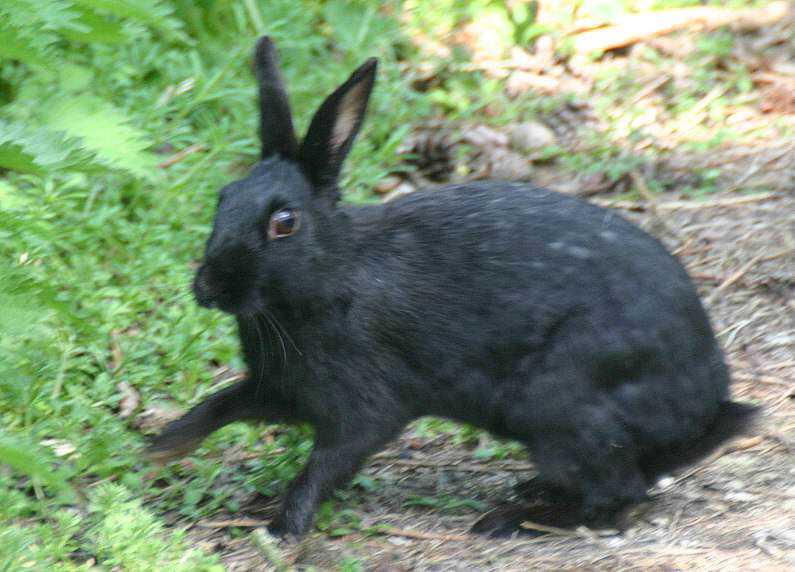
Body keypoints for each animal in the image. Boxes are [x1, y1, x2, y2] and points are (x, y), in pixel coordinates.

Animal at [147, 36, 758, 539]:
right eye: (223, 198)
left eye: (284, 223)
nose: (208, 288)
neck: (332, 273)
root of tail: (703, 408)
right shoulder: (280, 388)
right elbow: (220, 404)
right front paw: (157, 450)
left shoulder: (364, 406)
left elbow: (326, 464)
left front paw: (284, 528)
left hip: (561, 401)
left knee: (619, 494)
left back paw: (513, 519)